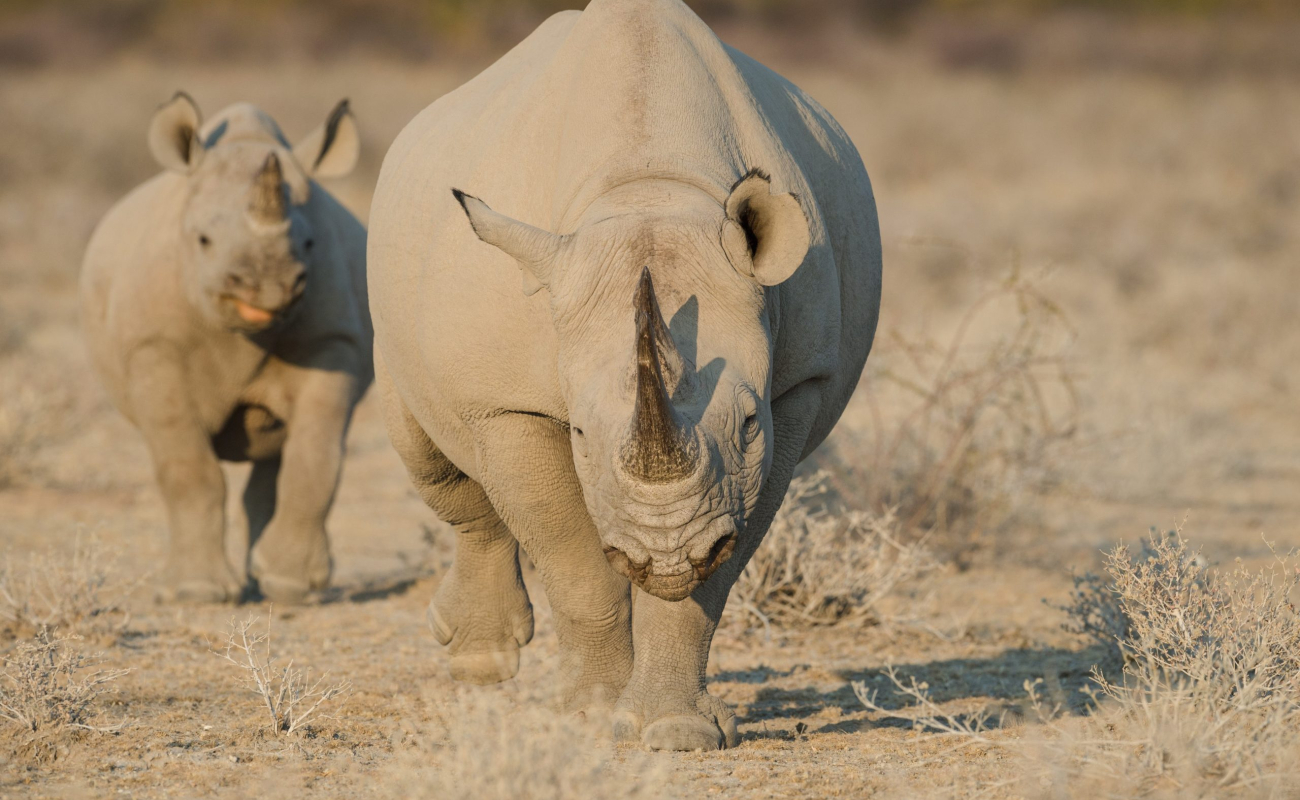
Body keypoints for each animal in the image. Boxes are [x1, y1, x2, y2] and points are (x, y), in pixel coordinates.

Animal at [81, 94, 372, 604]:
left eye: (310, 242)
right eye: (203, 240)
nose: (270, 285)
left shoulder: (334, 340)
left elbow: (316, 456)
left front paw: (293, 585)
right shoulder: (154, 347)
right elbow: (188, 469)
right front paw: (197, 591)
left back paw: (271, 583)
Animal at [369, 0, 880, 750]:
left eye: (749, 424)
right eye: (579, 433)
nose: (662, 556)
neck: (649, 190)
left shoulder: (793, 393)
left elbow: (716, 572)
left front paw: (675, 731)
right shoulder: (512, 403)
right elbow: (573, 561)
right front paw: (589, 718)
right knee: (430, 452)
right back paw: (480, 662)